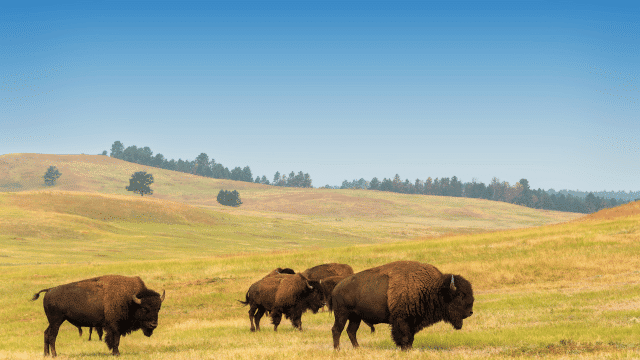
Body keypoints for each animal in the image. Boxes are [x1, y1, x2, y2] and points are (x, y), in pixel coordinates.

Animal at [32, 274, 165, 356]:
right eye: (144, 308)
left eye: (158, 308)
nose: (153, 325)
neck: (131, 300)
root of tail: (49, 290)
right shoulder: (115, 326)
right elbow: (116, 340)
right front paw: (116, 353)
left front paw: (114, 353)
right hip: (57, 321)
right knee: (52, 336)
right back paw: (54, 355)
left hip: (53, 321)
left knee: (46, 333)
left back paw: (46, 354)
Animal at [330, 260, 476, 350]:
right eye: (460, 295)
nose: (470, 312)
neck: (433, 288)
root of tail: (337, 287)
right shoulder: (402, 320)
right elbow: (404, 336)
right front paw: (405, 349)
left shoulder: (412, 321)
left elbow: (410, 337)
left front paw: (408, 348)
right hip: (342, 314)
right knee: (337, 330)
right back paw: (337, 350)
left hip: (356, 317)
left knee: (351, 331)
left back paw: (357, 348)